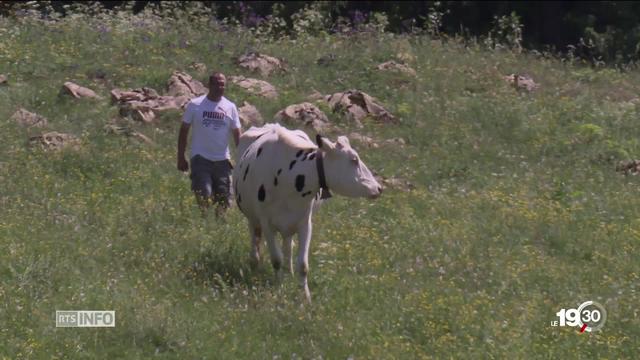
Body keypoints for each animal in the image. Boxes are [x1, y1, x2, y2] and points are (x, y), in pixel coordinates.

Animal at [232, 122, 382, 302]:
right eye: (354, 160)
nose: (379, 188)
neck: (287, 177)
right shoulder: (267, 223)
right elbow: (276, 259)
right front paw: (279, 290)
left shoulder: (305, 223)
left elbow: (303, 265)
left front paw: (305, 297)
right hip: (252, 218)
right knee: (255, 238)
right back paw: (255, 264)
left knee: (288, 245)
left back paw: (288, 271)